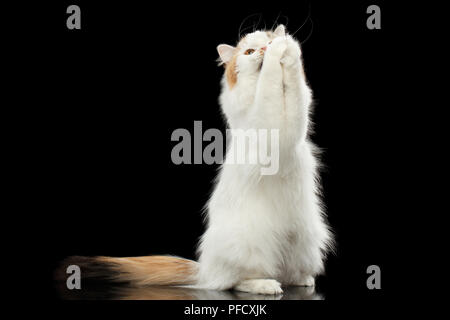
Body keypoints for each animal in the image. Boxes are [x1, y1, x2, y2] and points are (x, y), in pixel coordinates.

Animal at [58, 24, 334, 296]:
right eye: (250, 52)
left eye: (263, 42)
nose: (265, 49)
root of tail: (205, 270)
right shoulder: (266, 118)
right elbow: (270, 82)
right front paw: (277, 55)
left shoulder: (297, 117)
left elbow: (295, 85)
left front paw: (286, 46)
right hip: (252, 246)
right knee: (236, 280)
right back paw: (265, 285)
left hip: (305, 242)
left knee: (287, 273)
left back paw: (303, 280)